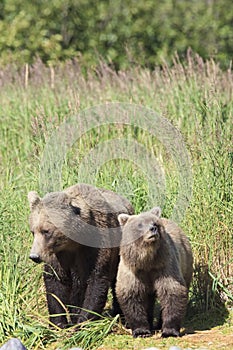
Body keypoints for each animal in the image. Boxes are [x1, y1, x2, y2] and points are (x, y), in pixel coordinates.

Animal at [27, 183, 134, 328]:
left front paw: (83, 321)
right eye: (33, 231)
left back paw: (120, 315)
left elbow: (96, 281)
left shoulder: (95, 247)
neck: (73, 242)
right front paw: (58, 323)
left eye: (46, 231)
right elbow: (55, 283)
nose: (34, 256)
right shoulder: (58, 255)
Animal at [115, 206, 193, 338]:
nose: (153, 229)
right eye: (140, 225)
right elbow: (132, 295)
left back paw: (158, 324)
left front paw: (169, 331)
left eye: (155, 223)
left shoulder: (165, 266)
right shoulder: (133, 271)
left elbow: (172, 291)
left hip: (186, 263)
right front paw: (141, 331)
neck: (147, 260)